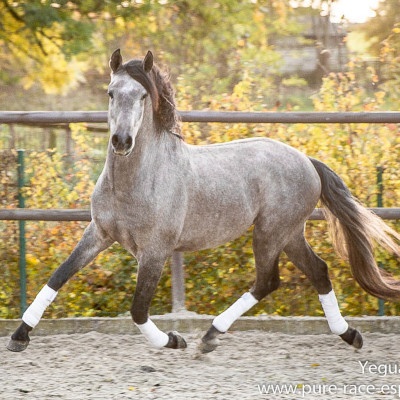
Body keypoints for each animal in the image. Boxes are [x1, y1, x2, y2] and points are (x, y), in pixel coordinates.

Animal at [7, 50, 400, 354]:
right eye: (110, 92)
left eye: (143, 96)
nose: (121, 141)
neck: (135, 182)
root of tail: (307, 160)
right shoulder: (99, 234)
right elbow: (59, 276)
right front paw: (19, 336)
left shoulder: (156, 250)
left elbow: (138, 308)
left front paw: (172, 340)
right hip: (288, 234)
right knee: (316, 271)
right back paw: (349, 334)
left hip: (270, 232)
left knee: (267, 281)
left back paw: (210, 336)